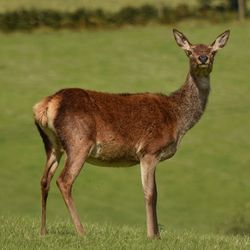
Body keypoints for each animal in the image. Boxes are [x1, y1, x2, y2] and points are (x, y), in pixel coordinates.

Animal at [33, 29, 230, 238]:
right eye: (189, 51)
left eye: (213, 51)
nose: (203, 58)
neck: (177, 119)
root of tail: (46, 104)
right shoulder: (150, 150)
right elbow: (150, 193)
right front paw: (152, 235)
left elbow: (155, 192)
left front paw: (157, 234)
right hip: (79, 141)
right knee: (64, 181)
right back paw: (81, 231)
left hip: (52, 144)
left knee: (44, 180)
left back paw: (43, 231)